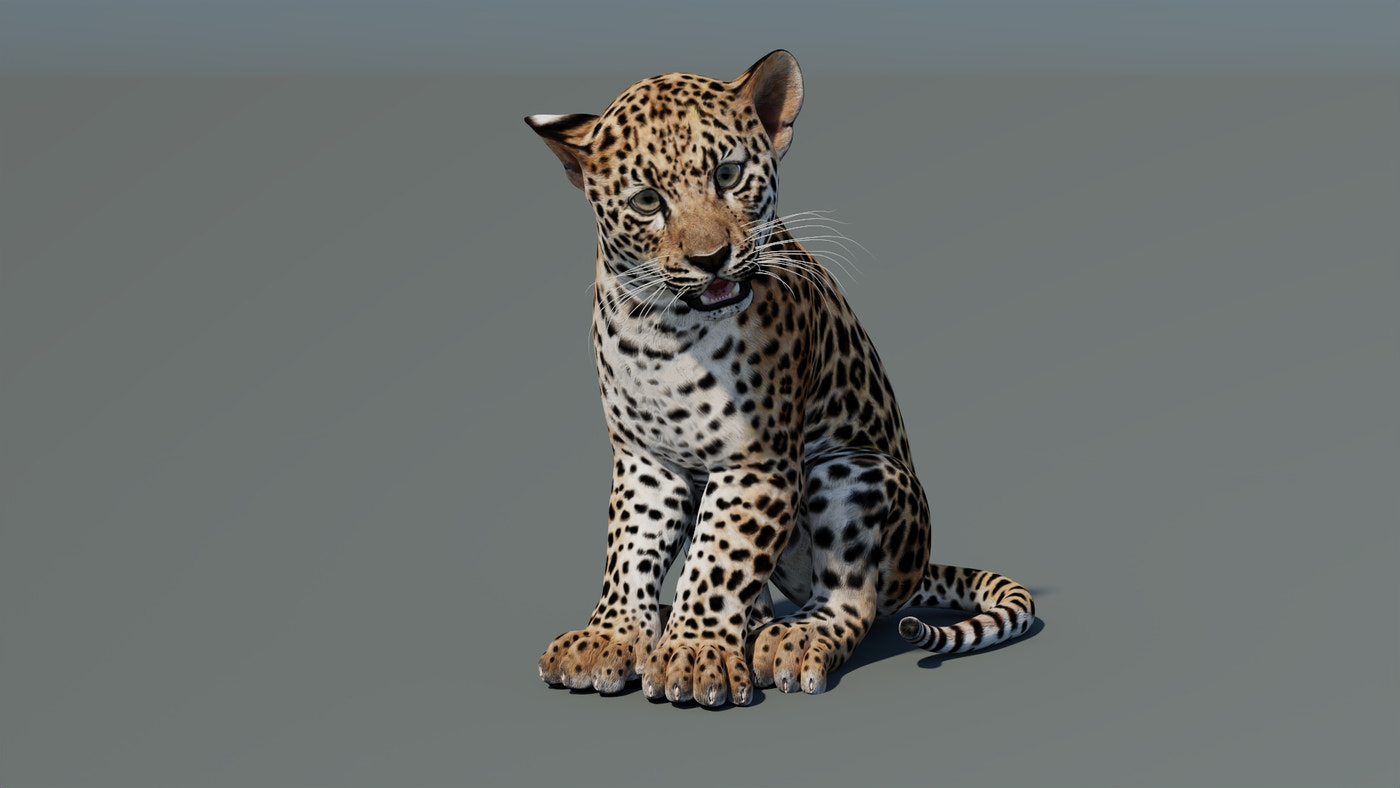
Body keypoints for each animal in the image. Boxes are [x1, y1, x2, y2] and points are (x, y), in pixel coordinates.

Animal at [525, 50, 1035, 707]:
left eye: (728, 173)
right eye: (645, 201)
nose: (710, 258)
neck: (665, 333)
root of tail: (918, 567)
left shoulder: (756, 460)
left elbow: (719, 560)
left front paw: (695, 654)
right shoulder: (647, 459)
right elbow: (631, 549)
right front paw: (610, 638)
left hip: (852, 472)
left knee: (852, 596)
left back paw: (791, 638)